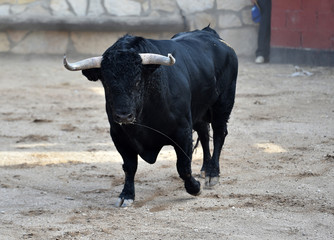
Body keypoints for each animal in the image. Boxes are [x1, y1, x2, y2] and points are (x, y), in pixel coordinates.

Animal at [64, 25, 239, 206]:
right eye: (106, 83)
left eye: (137, 81)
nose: (124, 116)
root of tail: (212, 35)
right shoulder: (119, 135)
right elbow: (129, 166)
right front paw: (126, 195)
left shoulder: (183, 131)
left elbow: (183, 166)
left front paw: (195, 188)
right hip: (199, 110)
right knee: (204, 133)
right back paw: (205, 169)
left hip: (223, 104)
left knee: (219, 134)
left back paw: (212, 174)